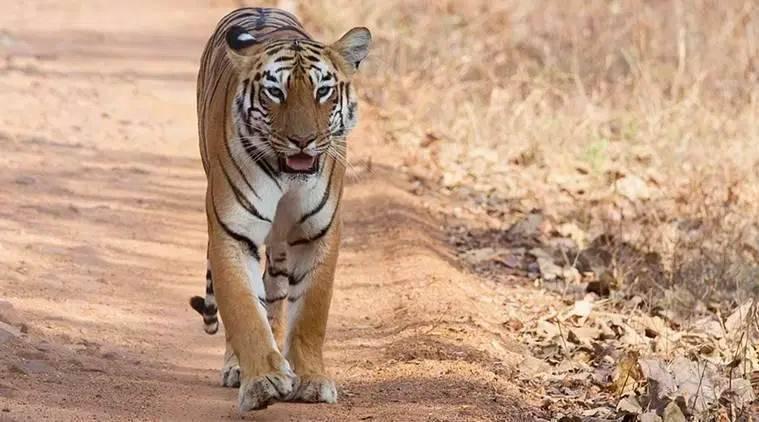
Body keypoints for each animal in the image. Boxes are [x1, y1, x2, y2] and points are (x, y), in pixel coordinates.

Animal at [188, 7, 371, 411]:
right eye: (276, 92)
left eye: (323, 91)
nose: (303, 141)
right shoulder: (232, 232)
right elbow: (243, 309)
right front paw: (262, 381)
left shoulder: (318, 232)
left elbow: (311, 313)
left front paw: (311, 380)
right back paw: (238, 368)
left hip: (281, 245)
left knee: (274, 291)